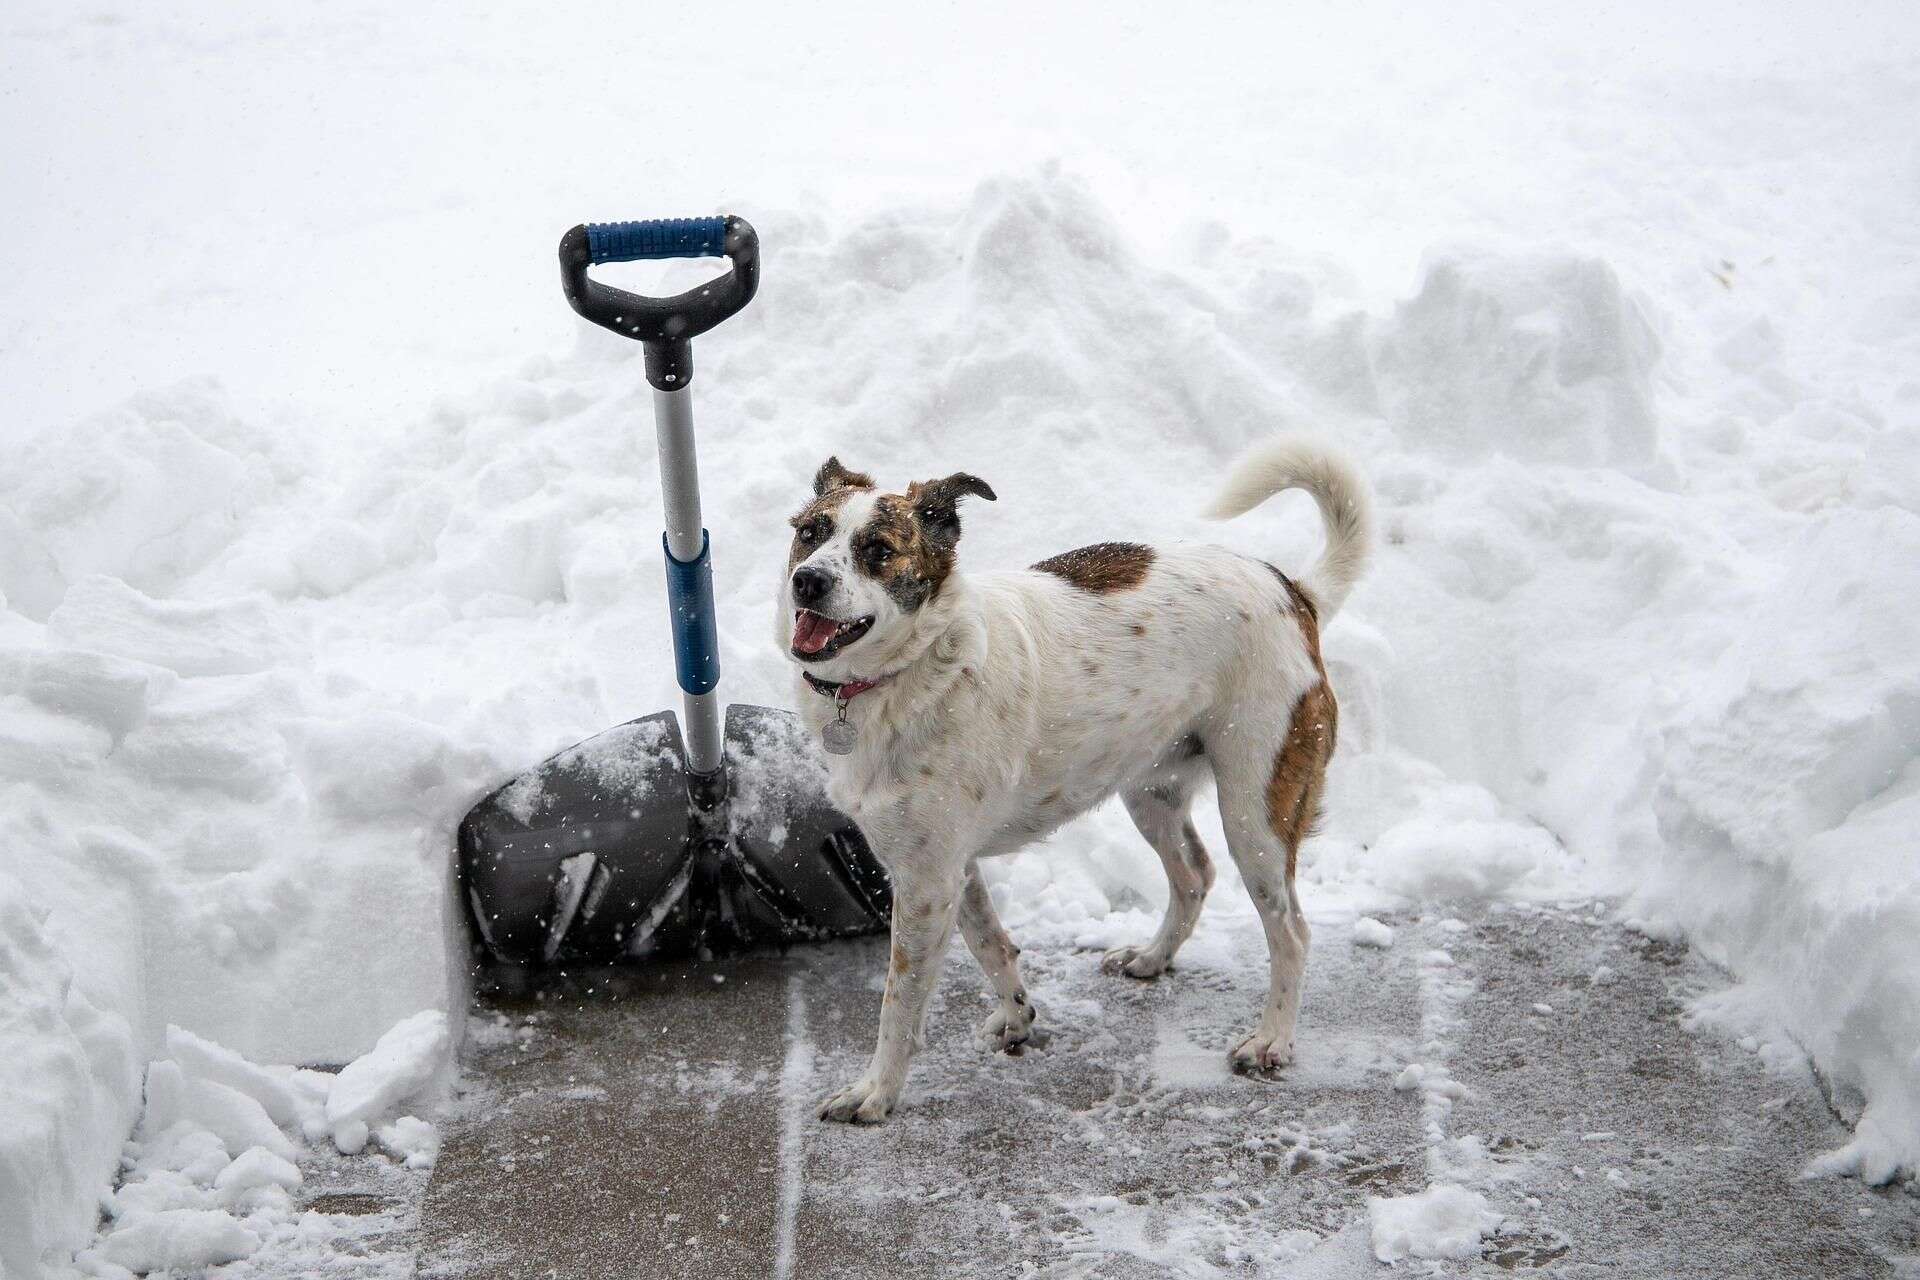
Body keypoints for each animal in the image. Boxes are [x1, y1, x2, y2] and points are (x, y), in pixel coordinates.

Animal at [771, 441, 1374, 1120]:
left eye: (877, 548)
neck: (912, 669)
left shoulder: (926, 881)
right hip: (1151, 789)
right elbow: (990, 943)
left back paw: (1272, 1039)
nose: (807, 580)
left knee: (1291, 931)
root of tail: (1294, 591)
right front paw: (1017, 1018)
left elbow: (899, 1002)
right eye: (810, 532)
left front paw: (876, 1092)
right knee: (1194, 875)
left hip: (1257, 810)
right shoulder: (949, 866)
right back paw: (1152, 957)